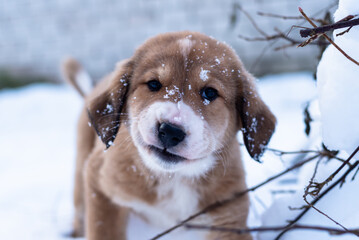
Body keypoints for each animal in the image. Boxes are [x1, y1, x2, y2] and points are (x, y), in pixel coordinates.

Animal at [63, 31, 278, 240]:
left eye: (209, 92)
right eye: (153, 84)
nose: (170, 132)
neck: (173, 178)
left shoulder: (228, 217)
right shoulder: (100, 184)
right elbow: (103, 231)